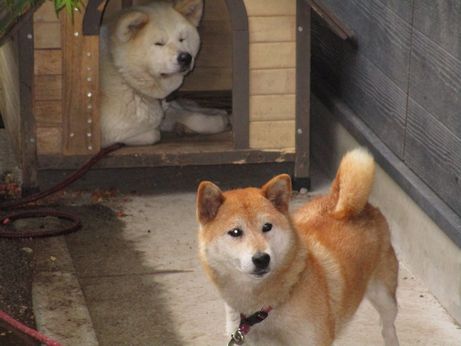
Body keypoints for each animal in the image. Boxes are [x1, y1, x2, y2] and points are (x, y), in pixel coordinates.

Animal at [101, 0, 230, 147]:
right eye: (159, 43)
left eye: (182, 39)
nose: (185, 58)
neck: (127, 79)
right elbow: (153, 134)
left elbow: (193, 117)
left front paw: (216, 121)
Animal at [196, 147, 398, 344]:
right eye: (236, 232)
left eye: (267, 227)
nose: (262, 259)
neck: (263, 309)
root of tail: (345, 207)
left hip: (385, 297)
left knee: (387, 327)